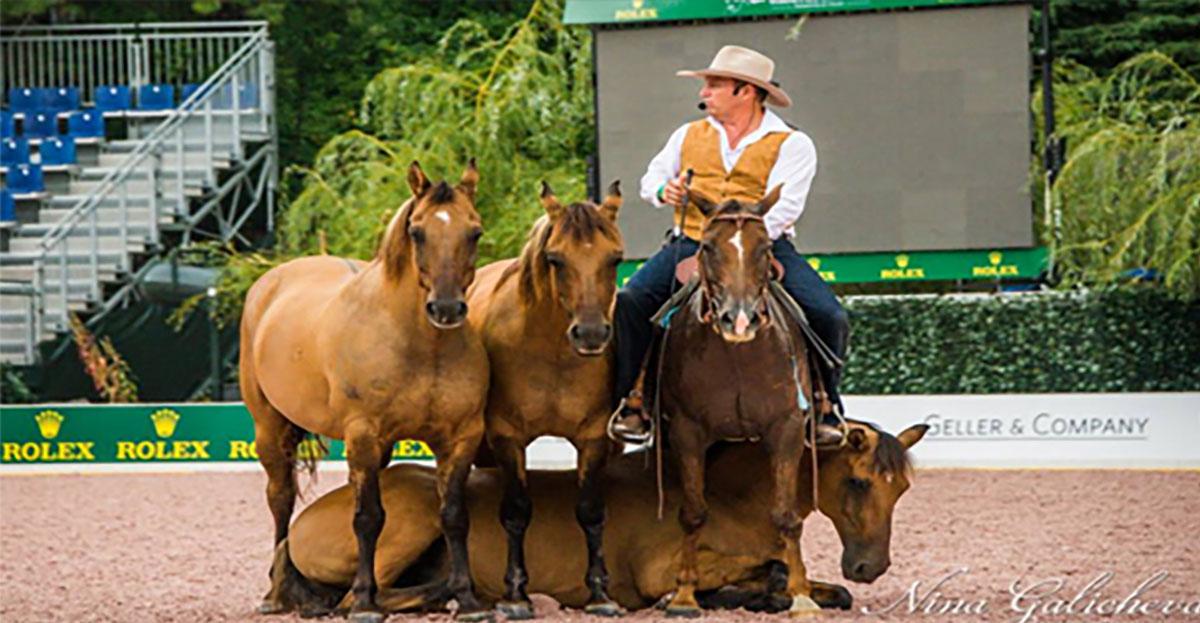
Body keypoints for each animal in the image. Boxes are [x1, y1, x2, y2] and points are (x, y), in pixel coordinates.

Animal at [238, 162, 492, 623]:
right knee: (281, 498)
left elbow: (454, 515)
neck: (421, 346)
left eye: (475, 231)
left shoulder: (459, 439)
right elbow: (368, 518)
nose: (446, 309)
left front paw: (466, 600)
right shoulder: (363, 435)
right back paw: (278, 592)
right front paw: (362, 602)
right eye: (417, 231)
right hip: (270, 429)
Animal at [262, 420, 926, 614]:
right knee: (362, 598)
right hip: (413, 518)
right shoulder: (663, 572)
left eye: (902, 489)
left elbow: (819, 589)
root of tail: (297, 526)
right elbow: (745, 584)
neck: (731, 497)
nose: (870, 566)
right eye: (858, 482)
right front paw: (750, 594)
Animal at [463, 180, 624, 619]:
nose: (591, 334)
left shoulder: (594, 437)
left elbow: (591, 511)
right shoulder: (506, 437)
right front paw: (516, 594)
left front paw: (599, 593)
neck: (552, 352)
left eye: (615, 258)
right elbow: (517, 511)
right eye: (555, 259)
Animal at [657, 184, 835, 619]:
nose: (739, 319)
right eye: (707, 246)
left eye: (765, 247)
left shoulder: (786, 429)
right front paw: (683, 595)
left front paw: (801, 595)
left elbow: (786, 516)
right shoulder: (687, 431)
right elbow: (693, 512)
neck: (738, 355)